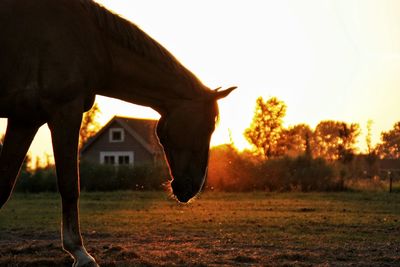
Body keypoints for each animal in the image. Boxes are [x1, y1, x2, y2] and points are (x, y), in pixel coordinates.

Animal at [0, 1, 234, 266]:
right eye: (208, 126)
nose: (193, 187)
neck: (91, 39)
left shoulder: (25, 120)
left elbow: (3, 186)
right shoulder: (65, 112)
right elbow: (69, 184)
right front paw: (80, 252)